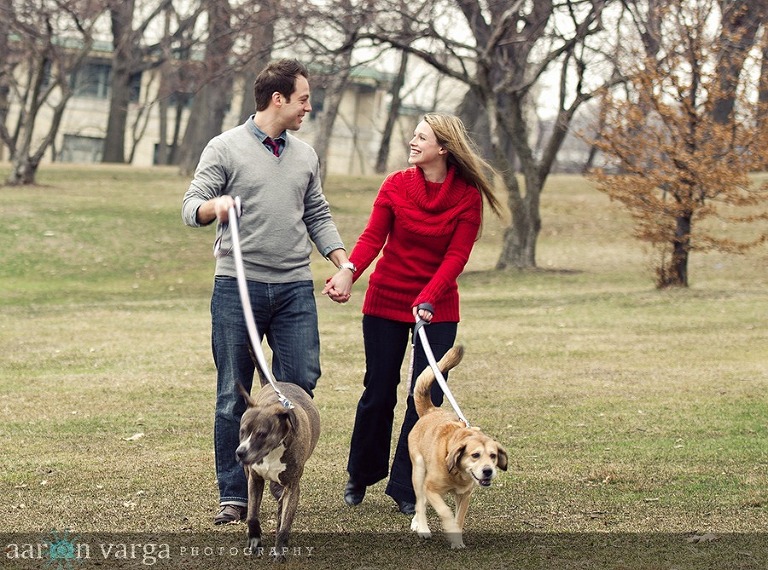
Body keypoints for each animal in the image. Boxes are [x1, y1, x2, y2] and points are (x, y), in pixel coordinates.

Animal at [234, 380, 318, 556]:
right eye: (242, 431)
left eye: (261, 434)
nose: (240, 452)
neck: (272, 450)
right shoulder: (254, 479)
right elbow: (252, 516)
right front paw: (254, 541)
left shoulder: (292, 487)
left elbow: (285, 523)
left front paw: (279, 550)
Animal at [408, 344, 510, 548]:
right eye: (475, 455)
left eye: (493, 456)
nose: (488, 471)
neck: (456, 473)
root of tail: (430, 410)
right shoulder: (431, 488)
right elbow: (445, 511)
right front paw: (445, 528)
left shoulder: (464, 495)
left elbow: (459, 519)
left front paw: (457, 541)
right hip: (419, 470)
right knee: (420, 501)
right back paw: (422, 527)